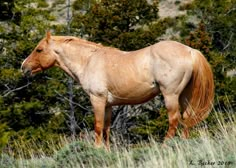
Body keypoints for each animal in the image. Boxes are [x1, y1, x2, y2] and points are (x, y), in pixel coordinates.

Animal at [21, 32, 215, 149]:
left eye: (39, 49)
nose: (23, 67)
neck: (89, 60)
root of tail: (190, 51)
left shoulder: (97, 99)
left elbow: (98, 127)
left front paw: (97, 149)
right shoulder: (108, 105)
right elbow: (107, 129)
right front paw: (106, 151)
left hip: (171, 95)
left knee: (174, 120)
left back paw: (165, 146)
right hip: (184, 96)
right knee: (187, 119)